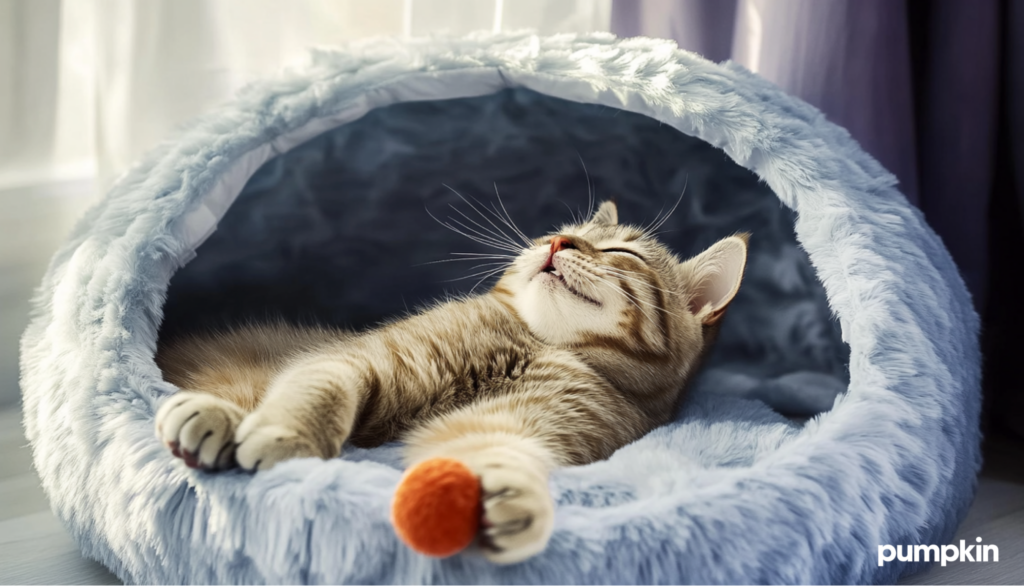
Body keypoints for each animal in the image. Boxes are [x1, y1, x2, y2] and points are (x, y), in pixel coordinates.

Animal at [157, 201, 753, 561]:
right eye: (562, 230)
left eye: (621, 252)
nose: (559, 242)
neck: (537, 343)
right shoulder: (360, 359)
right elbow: (318, 391)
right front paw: (292, 436)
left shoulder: (517, 423)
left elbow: (501, 453)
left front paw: (515, 496)